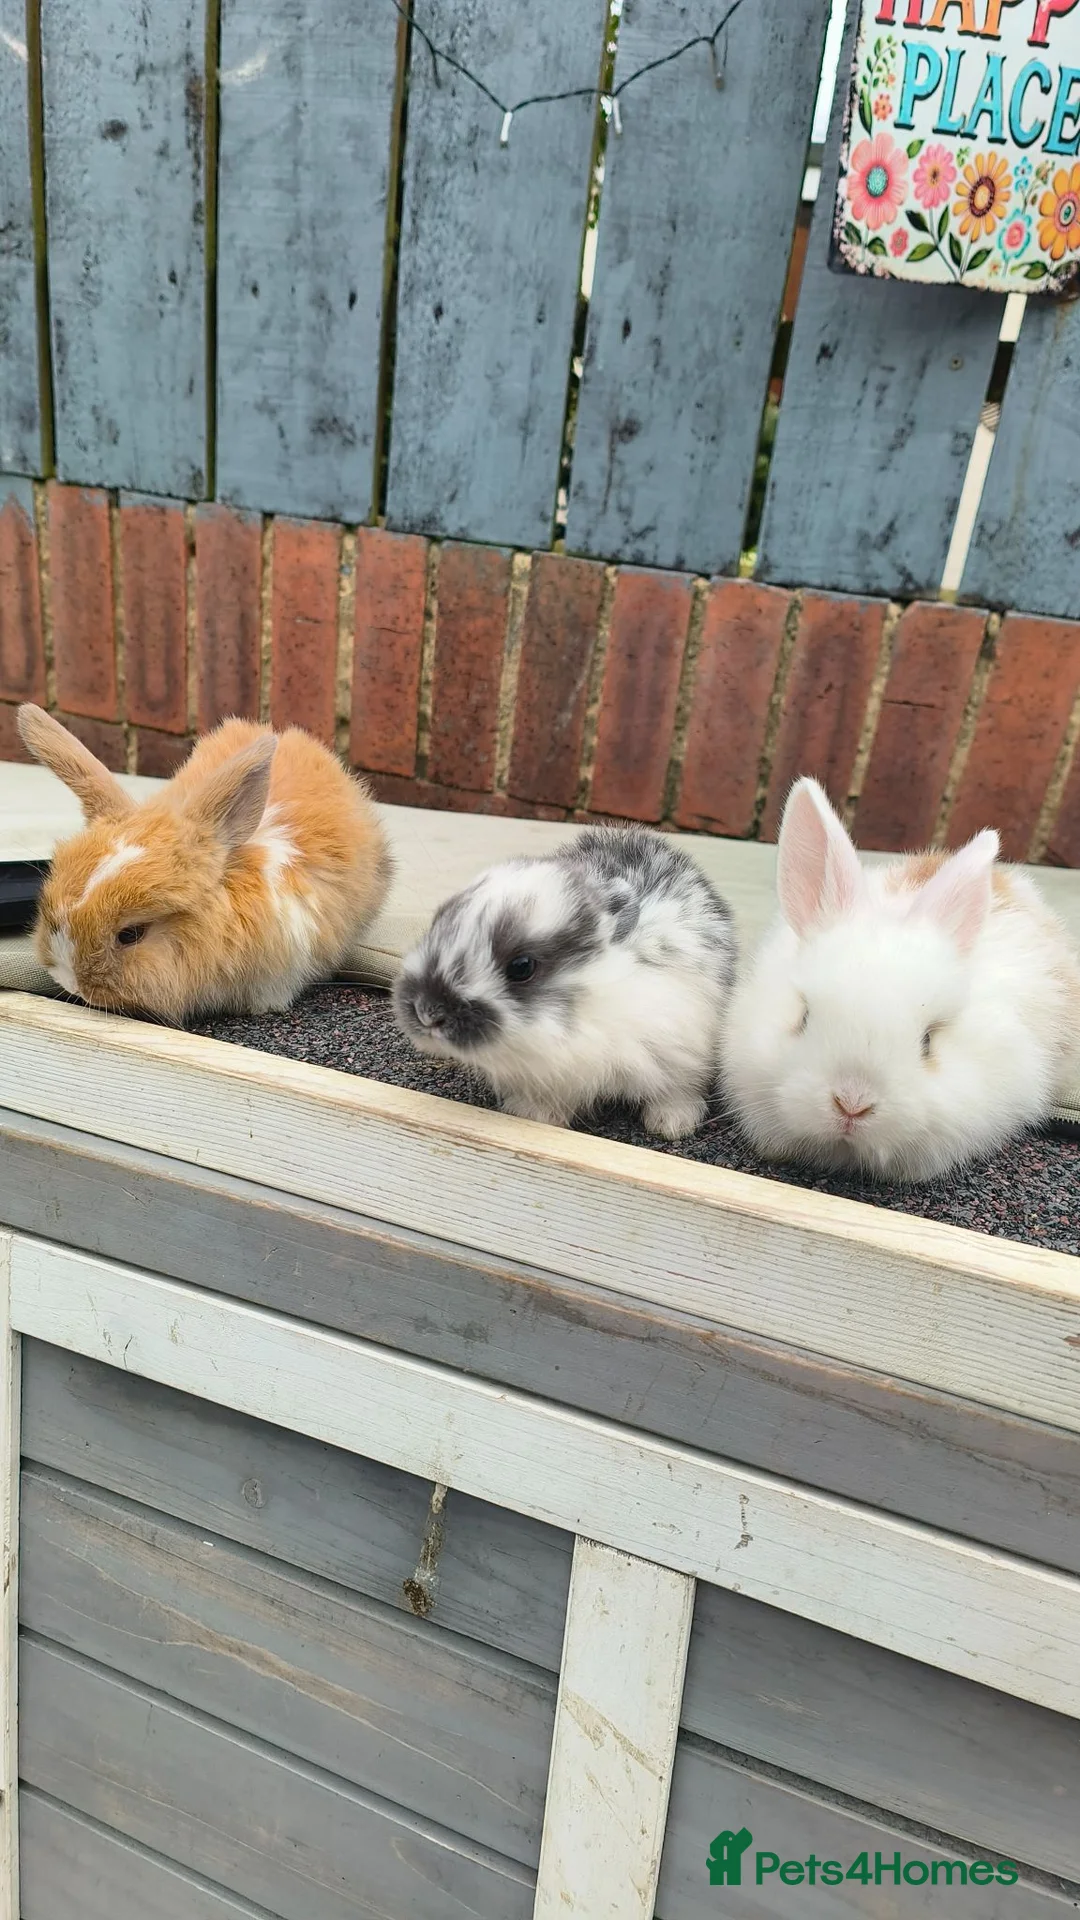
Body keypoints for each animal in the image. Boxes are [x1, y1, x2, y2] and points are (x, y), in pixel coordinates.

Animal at [394, 823, 737, 1137]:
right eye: (437, 923)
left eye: (522, 967)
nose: (427, 1012)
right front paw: (536, 1115)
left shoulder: (681, 1052)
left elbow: (676, 1091)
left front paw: (671, 1126)